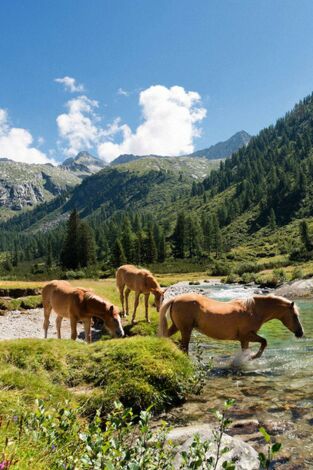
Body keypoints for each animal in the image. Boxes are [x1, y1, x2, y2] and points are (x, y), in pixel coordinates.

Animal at [158, 292, 302, 358]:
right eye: (295, 316)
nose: (301, 333)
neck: (253, 310)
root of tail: (175, 299)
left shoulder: (244, 339)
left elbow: (247, 349)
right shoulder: (246, 335)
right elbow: (264, 342)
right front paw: (253, 357)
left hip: (177, 327)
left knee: (167, 337)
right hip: (185, 330)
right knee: (184, 347)